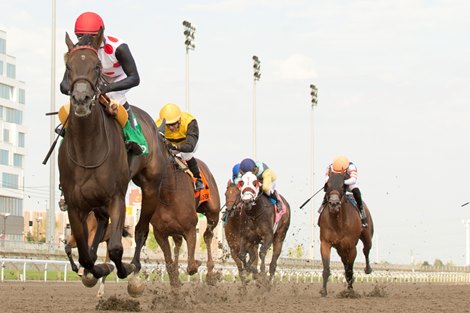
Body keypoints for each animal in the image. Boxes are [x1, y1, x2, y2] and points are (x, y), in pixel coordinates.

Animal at [57, 29, 162, 294]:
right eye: (68, 66)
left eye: (96, 67)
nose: (81, 98)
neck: (88, 148)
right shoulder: (75, 204)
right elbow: (85, 256)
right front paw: (95, 270)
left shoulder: (116, 196)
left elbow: (115, 249)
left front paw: (122, 268)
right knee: (102, 226)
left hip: (150, 186)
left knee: (141, 229)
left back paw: (135, 271)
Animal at [131, 152, 221, 286]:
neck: (168, 194)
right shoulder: (160, 233)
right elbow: (169, 264)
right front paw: (175, 278)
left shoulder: (190, 228)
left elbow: (191, 266)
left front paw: (197, 263)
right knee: (178, 242)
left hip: (213, 213)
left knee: (207, 236)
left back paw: (210, 274)